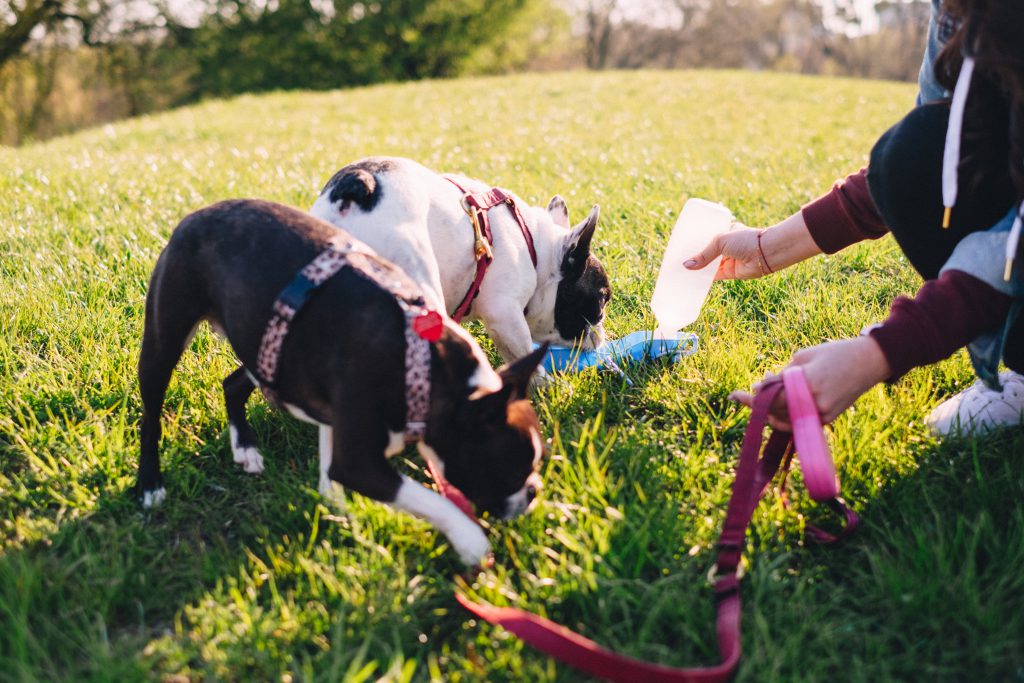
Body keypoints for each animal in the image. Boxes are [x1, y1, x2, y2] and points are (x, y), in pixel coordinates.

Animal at [141, 200, 552, 565]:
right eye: (510, 468)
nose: (534, 492)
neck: (425, 368)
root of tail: (195, 215)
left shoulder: (332, 412)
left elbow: (329, 470)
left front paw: (338, 510)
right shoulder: (358, 462)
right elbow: (429, 501)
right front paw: (471, 542)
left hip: (264, 349)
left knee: (233, 384)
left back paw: (245, 448)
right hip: (166, 336)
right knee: (152, 412)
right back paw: (150, 485)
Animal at [311, 158, 610, 366]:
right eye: (601, 301)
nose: (601, 335)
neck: (536, 249)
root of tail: (359, 186)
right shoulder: (504, 315)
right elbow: (522, 353)